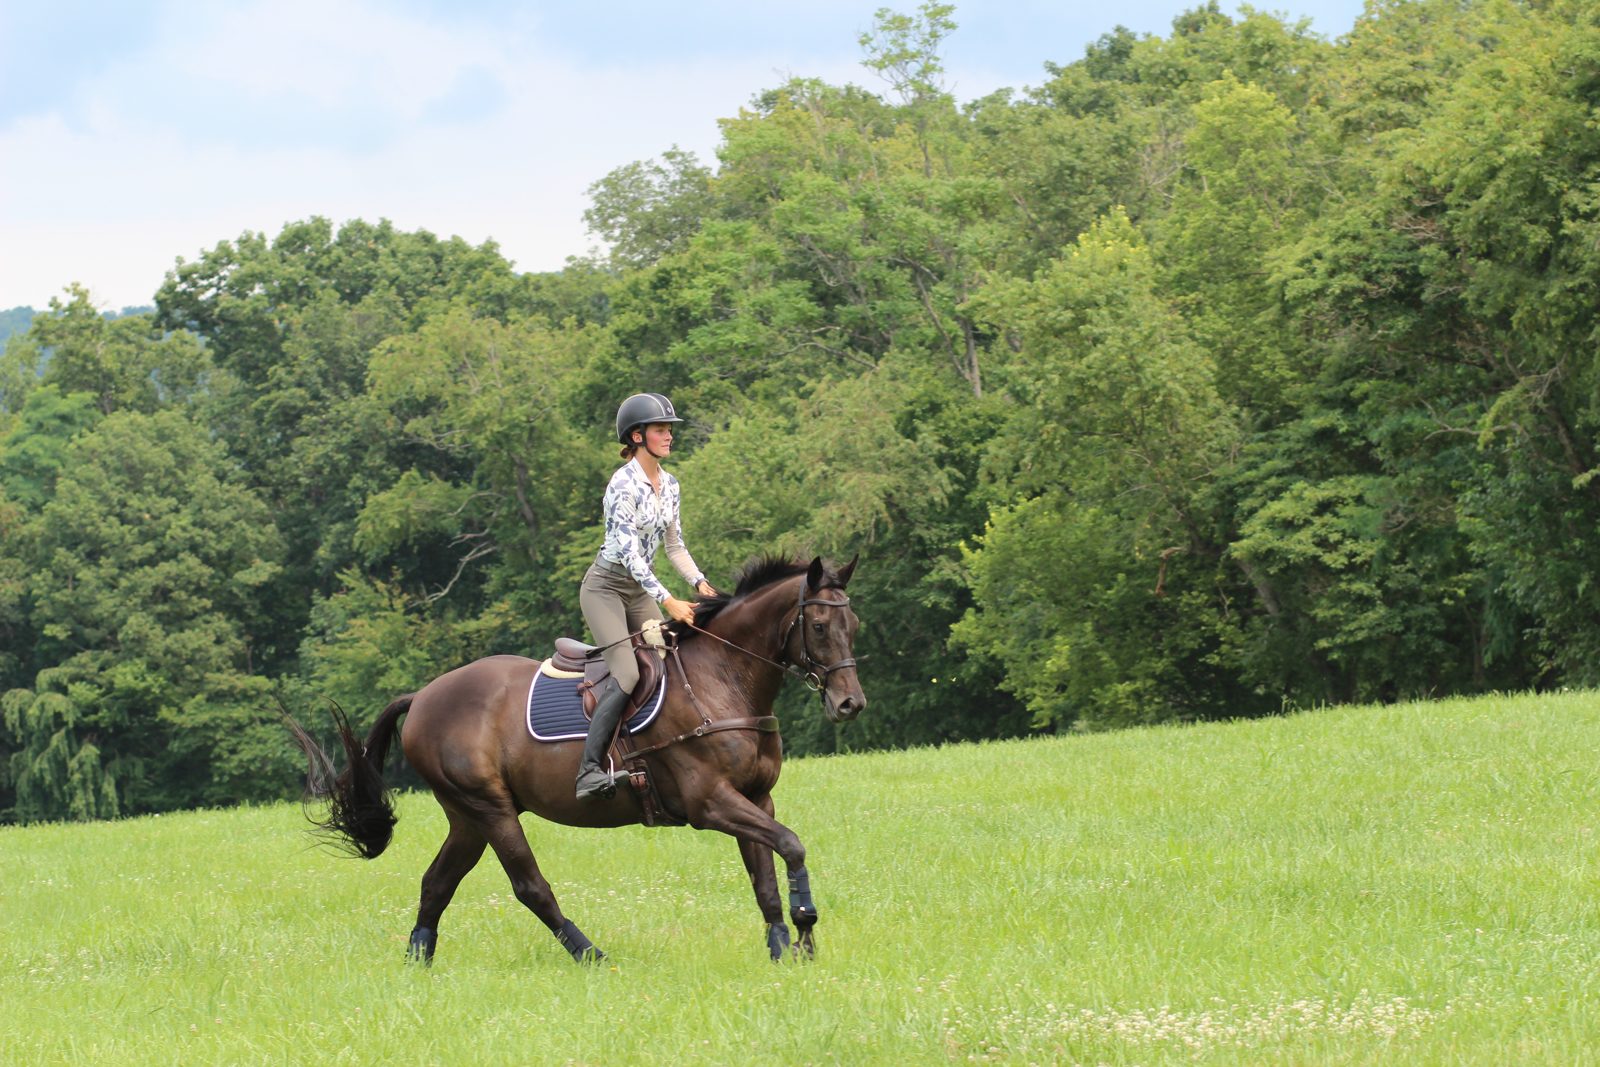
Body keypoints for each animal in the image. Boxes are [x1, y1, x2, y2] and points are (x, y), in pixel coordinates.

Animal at [289, 554, 864, 964]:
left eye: (853, 623)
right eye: (817, 627)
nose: (850, 704)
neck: (722, 680)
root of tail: (425, 695)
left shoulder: (755, 798)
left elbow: (766, 873)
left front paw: (783, 946)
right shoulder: (710, 803)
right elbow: (791, 845)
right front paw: (806, 927)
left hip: (467, 816)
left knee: (437, 883)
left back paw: (417, 961)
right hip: (490, 809)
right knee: (529, 887)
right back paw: (592, 954)